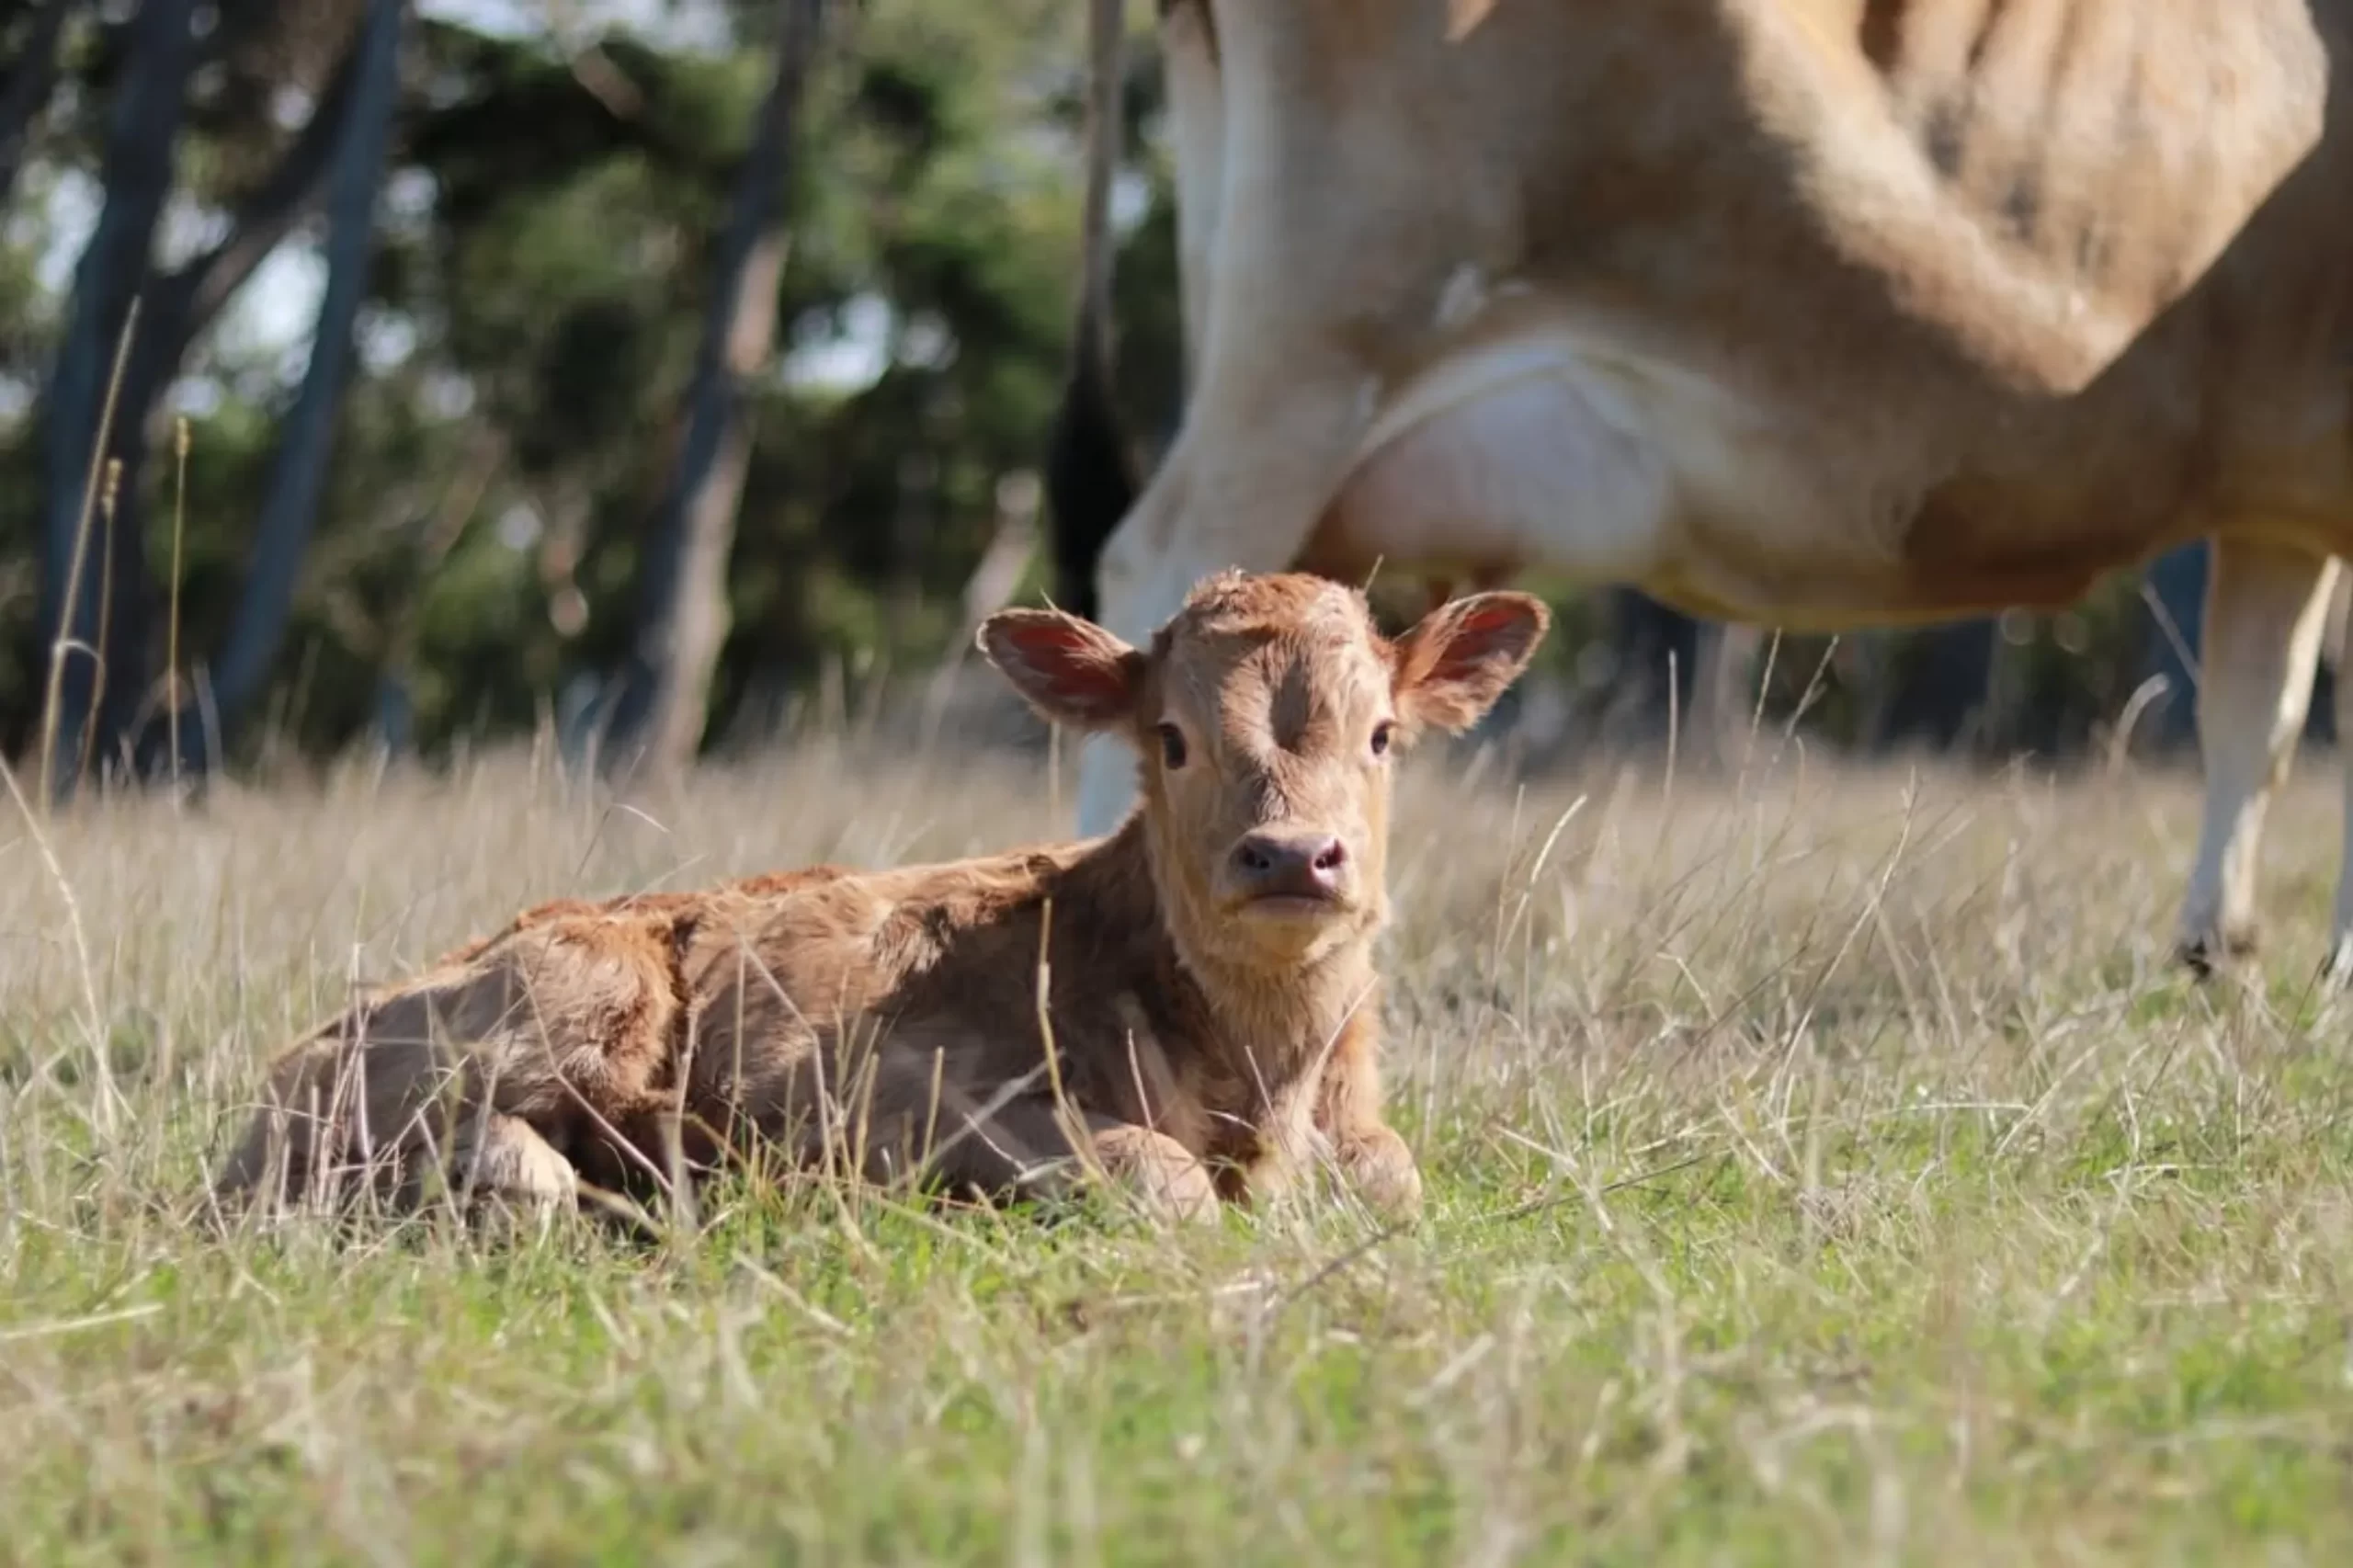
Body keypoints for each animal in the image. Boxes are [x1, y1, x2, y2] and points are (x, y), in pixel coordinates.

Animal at [216, 572, 1543, 1224]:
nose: (1293, 856)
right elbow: (1158, 1177)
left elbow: (1392, 1178)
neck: (1265, 1068)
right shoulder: (897, 1090)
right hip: (580, 983)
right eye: (1169, 739)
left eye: (1382, 735)